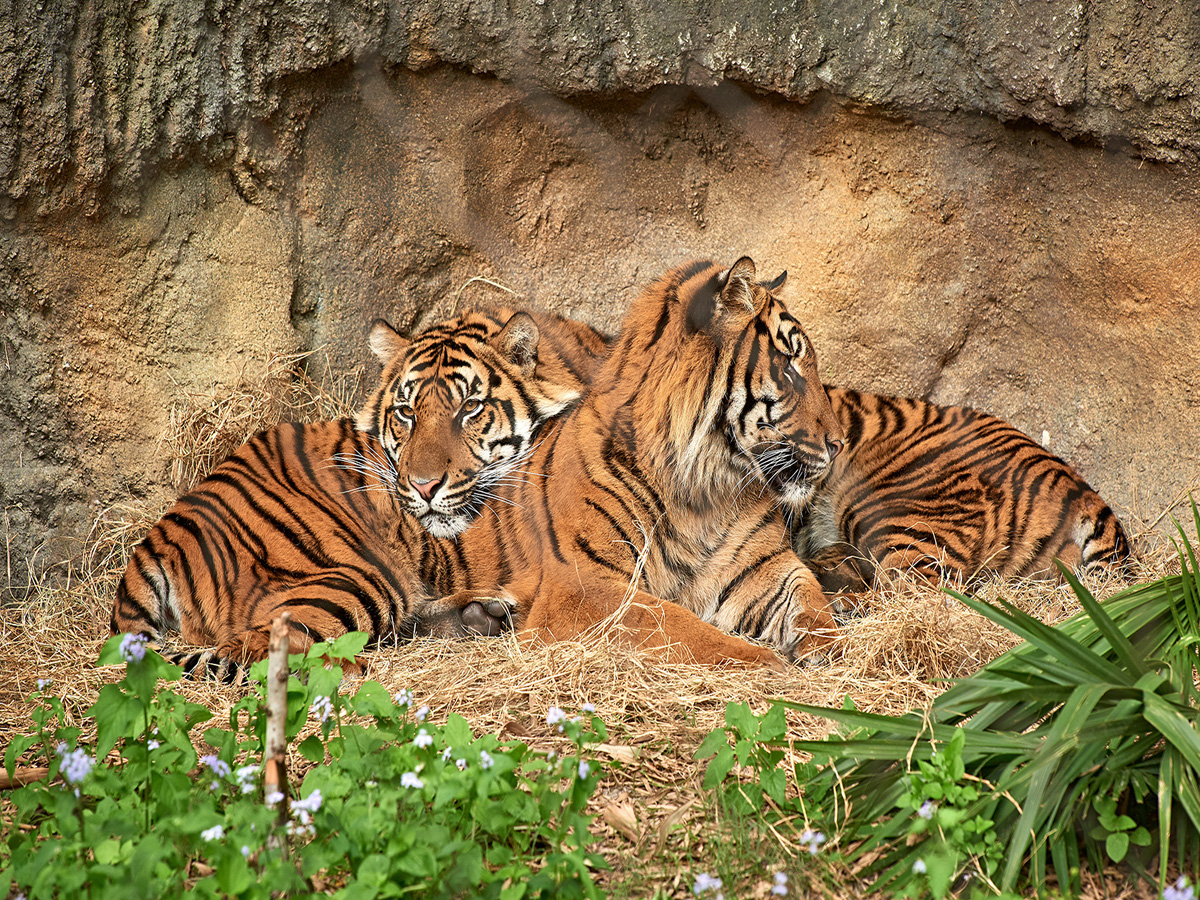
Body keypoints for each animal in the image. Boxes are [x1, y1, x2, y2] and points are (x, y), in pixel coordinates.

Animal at [110, 307, 610, 676]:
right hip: (357, 575)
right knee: (250, 652)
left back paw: (482, 614)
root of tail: (162, 532)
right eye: (406, 412)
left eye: (470, 407)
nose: (424, 486)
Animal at [407, 257, 845, 669]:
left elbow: (809, 593)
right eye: (788, 367)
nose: (839, 443)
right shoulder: (583, 585)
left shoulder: (763, 565)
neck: (704, 490)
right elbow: (675, 625)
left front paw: (826, 643)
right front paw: (762, 662)